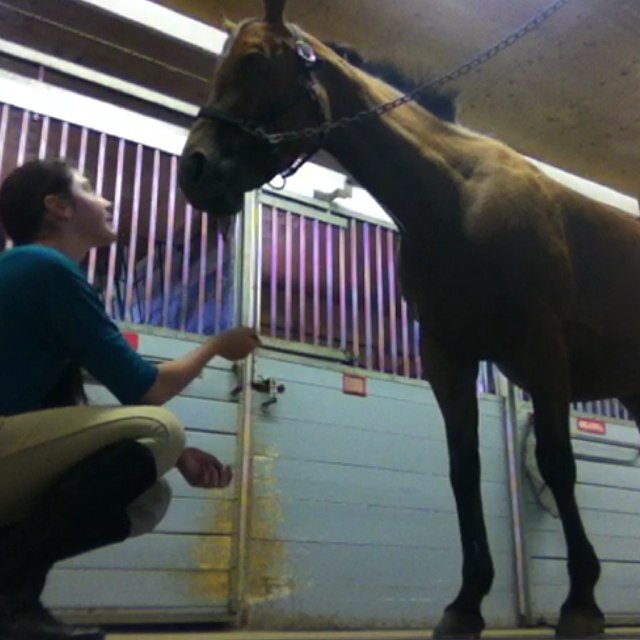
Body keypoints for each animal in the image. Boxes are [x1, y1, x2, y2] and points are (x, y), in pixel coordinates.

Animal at [177, 0, 640, 636]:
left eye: (255, 59)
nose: (194, 171)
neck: (458, 199)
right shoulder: (448, 359)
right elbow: (463, 472)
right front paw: (465, 603)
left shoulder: (543, 356)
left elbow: (557, 465)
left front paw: (581, 602)